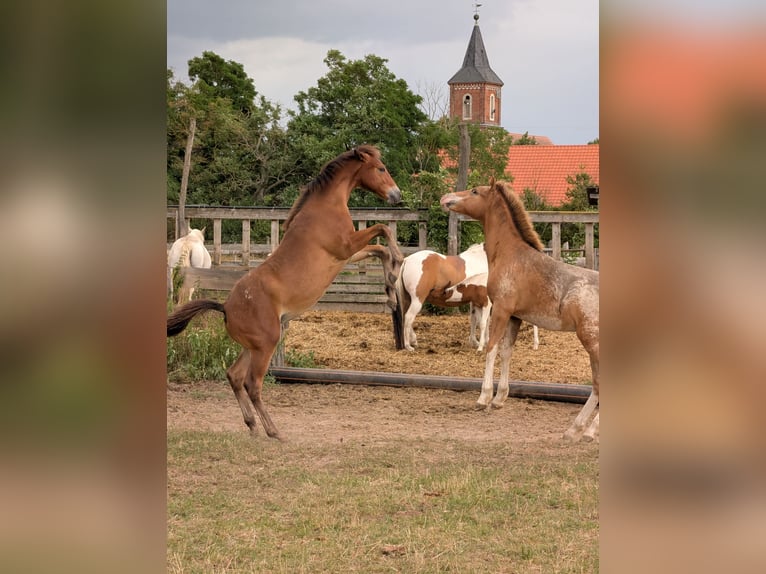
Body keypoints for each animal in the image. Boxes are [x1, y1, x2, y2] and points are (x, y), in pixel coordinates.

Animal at [167, 146, 404, 439]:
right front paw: (399, 260)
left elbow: (379, 250)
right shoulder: (346, 246)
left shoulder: (347, 255)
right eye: (381, 168)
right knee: (252, 384)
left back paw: (252, 425)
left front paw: (391, 285)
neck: (326, 206)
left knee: (234, 376)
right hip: (266, 345)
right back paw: (273, 431)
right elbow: (382, 230)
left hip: (254, 347)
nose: (397, 195)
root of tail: (225, 307)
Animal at [440, 179, 599, 442]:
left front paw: (484, 398)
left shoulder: (501, 311)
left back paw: (581, 430)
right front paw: (499, 399)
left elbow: (491, 349)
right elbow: (507, 352)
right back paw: (581, 430)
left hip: (591, 342)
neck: (511, 255)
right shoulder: (515, 317)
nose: (445, 198)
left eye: (475, 191)